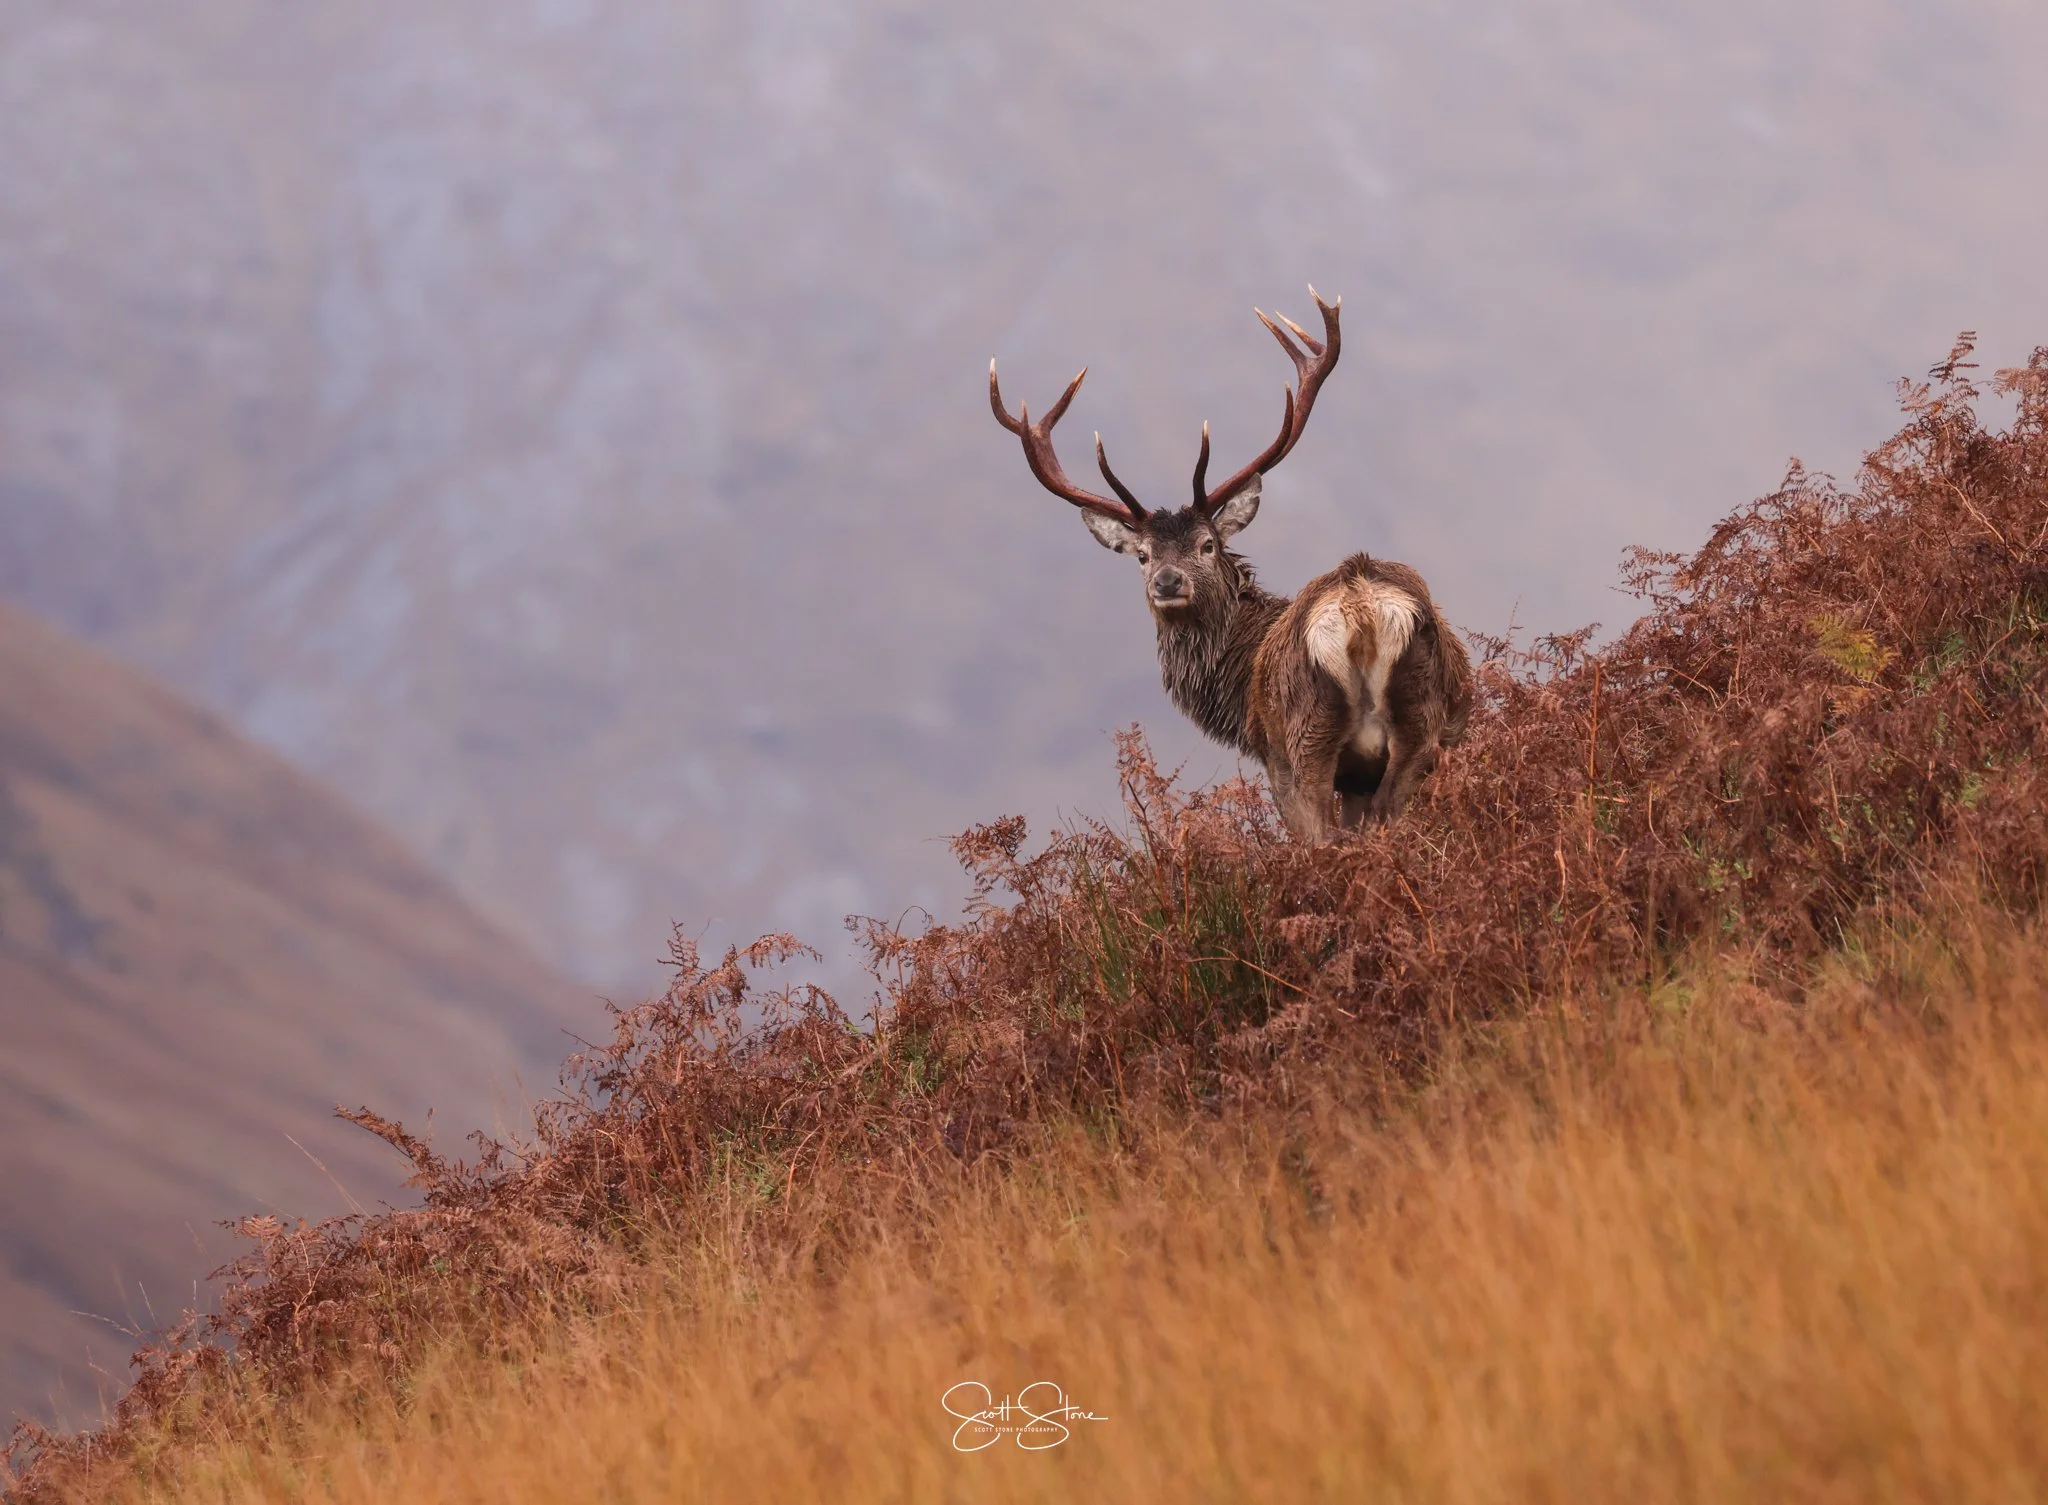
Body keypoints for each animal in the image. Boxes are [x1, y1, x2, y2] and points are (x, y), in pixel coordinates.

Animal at [990, 288, 1473, 842]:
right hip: (1426, 725)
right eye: (1142, 555)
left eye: (1207, 545)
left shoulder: (1273, 756)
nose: (1166, 581)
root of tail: (1362, 608)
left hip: (1306, 736)